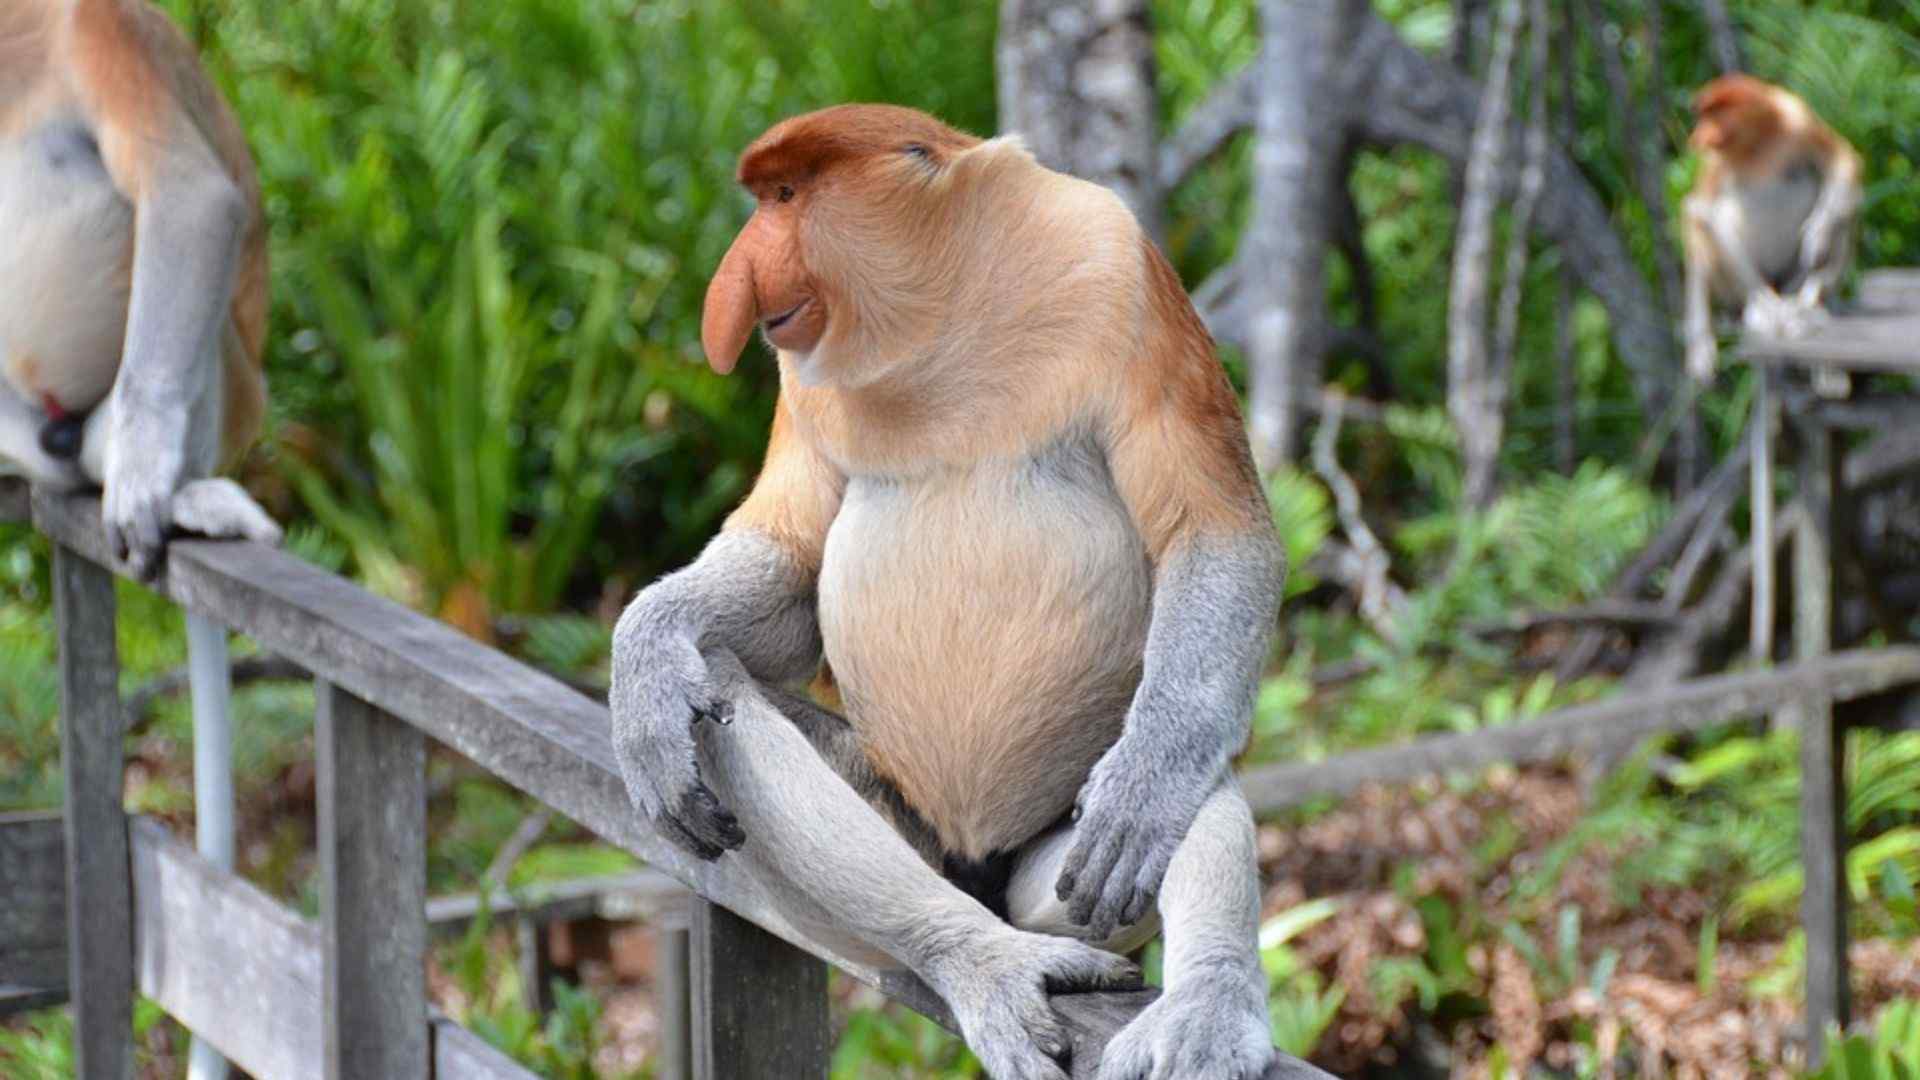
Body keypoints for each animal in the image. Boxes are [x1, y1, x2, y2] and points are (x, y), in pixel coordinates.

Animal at [611, 105, 1285, 1080]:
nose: (736, 272)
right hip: (900, 846)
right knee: (725, 695)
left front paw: (1145, 791)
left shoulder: (1120, 270)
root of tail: (977, 866)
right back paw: (980, 958)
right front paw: (645, 658)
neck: (942, 314)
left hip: (1062, 863)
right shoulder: (800, 380)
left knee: (1193, 777)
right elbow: (789, 566)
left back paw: (1201, 1002)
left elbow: (1214, 534)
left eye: (786, 196)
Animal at [1682, 74, 1862, 384]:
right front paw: (1701, 349)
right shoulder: (1712, 159)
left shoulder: (1798, 119)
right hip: (1733, 290)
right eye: (1703, 114)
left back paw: (1811, 304)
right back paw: (1766, 309)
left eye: (1714, 113)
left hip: (1790, 279)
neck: (1758, 142)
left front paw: (1817, 235)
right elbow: (1700, 211)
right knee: (1711, 224)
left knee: (1846, 212)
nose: (1698, 136)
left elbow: (1841, 158)